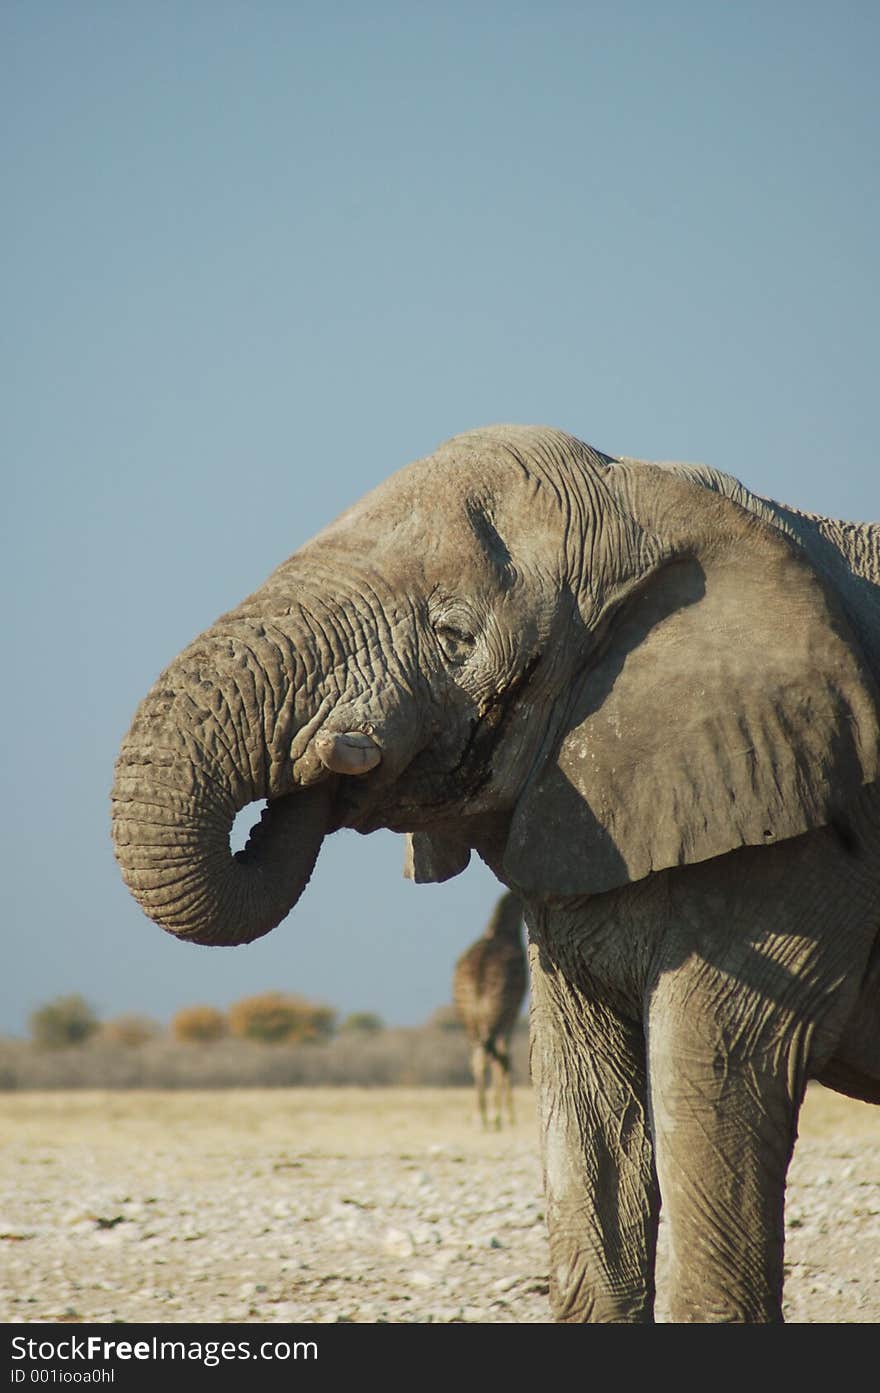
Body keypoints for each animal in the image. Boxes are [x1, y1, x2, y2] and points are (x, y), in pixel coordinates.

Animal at [451, 891, 526, 1131]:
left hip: (469, 1019)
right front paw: (507, 1116)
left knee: (477, 1058)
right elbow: (505, 1058)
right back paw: (491, 1116)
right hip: (496, 1014)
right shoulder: (512, 1013)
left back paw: (480, 1116)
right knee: (494, 1057)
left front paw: (498, 1115)